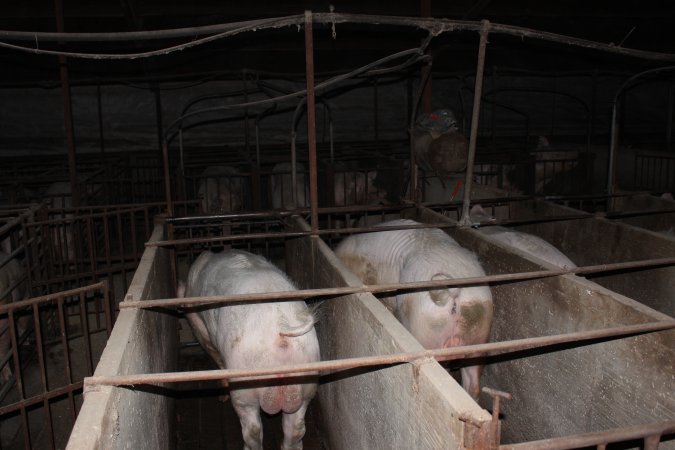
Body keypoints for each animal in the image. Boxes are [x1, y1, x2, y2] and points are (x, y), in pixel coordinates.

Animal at [177, 250, 320, 450]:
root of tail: (280, 325)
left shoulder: (199, 327)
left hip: (245, 386)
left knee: (252, 428)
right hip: (306, 379)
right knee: (296, 427)